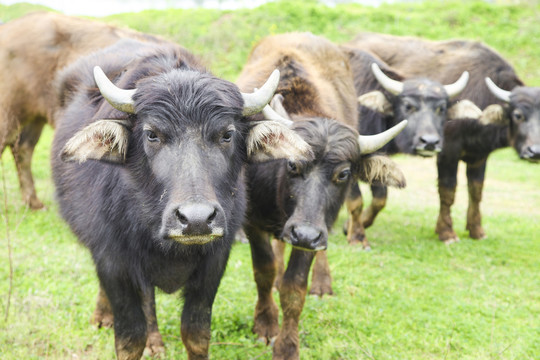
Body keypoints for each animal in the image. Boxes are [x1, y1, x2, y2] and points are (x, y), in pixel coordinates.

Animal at [51, 39, 312, 360]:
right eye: (152, 134)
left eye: (226, 135)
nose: (196, 220)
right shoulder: (113, 260)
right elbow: (130, 339)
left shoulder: (214, 262)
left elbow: (196, 333)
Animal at [236, 32, 404, 358]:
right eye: (292, 164)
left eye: (344, 173)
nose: (304, 234)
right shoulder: (253, 222)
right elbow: (264, 271)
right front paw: (265, 324)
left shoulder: (312, 229)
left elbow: (294, 287)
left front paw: (287, 345)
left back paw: (322, 283)